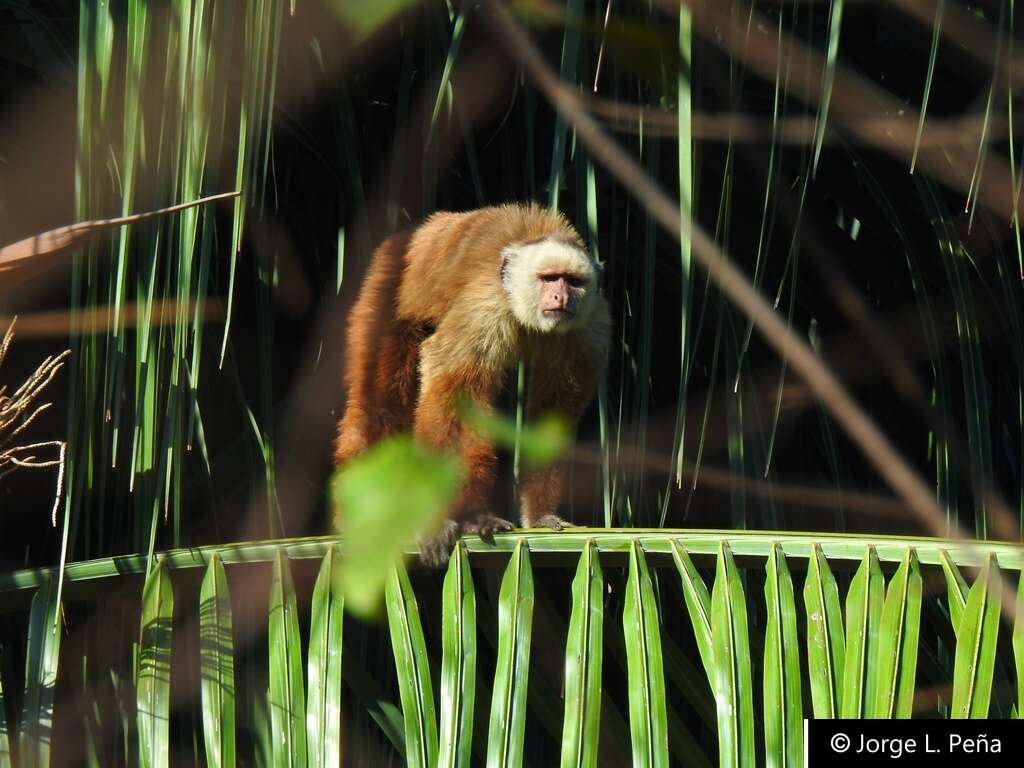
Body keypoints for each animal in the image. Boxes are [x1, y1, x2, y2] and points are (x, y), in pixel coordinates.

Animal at [335, 202, 606, 565]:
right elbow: (448, 389)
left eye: (573, 281)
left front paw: (540, 516)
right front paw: (434, 522)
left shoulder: (589, 330)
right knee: (380, 405)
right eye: (549, 278)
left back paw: (475, 517)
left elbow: (552, 414)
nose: (560, 296)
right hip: (383, 288)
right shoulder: (485, 307)